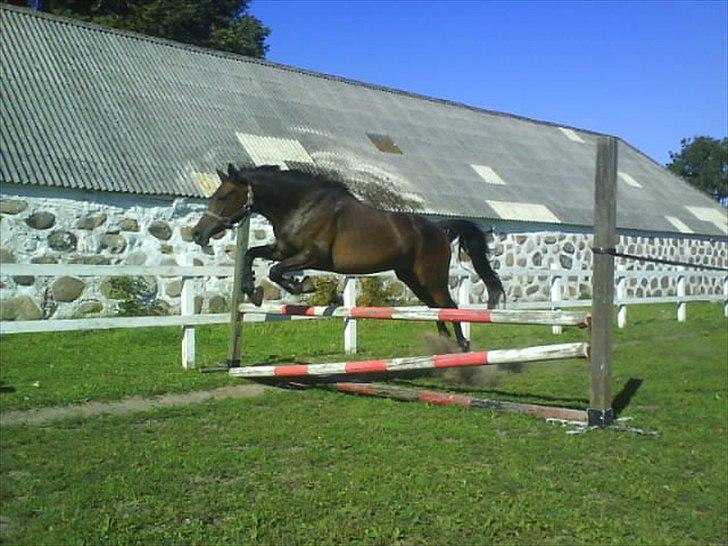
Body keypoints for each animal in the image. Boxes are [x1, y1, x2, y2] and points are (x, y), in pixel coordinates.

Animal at [191, 163, 504, 348]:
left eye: (222, 197)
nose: (197, 234)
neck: (301, 205)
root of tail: (438, 228)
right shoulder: (283, 249)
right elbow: (252, 255)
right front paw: (251, 289)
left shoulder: (312, 255)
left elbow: (276, 270)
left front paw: (302, 285)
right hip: (411, 278)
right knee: (435, 309)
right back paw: (442, 348)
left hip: (431, 277)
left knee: (449, 306)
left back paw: (461, 347)